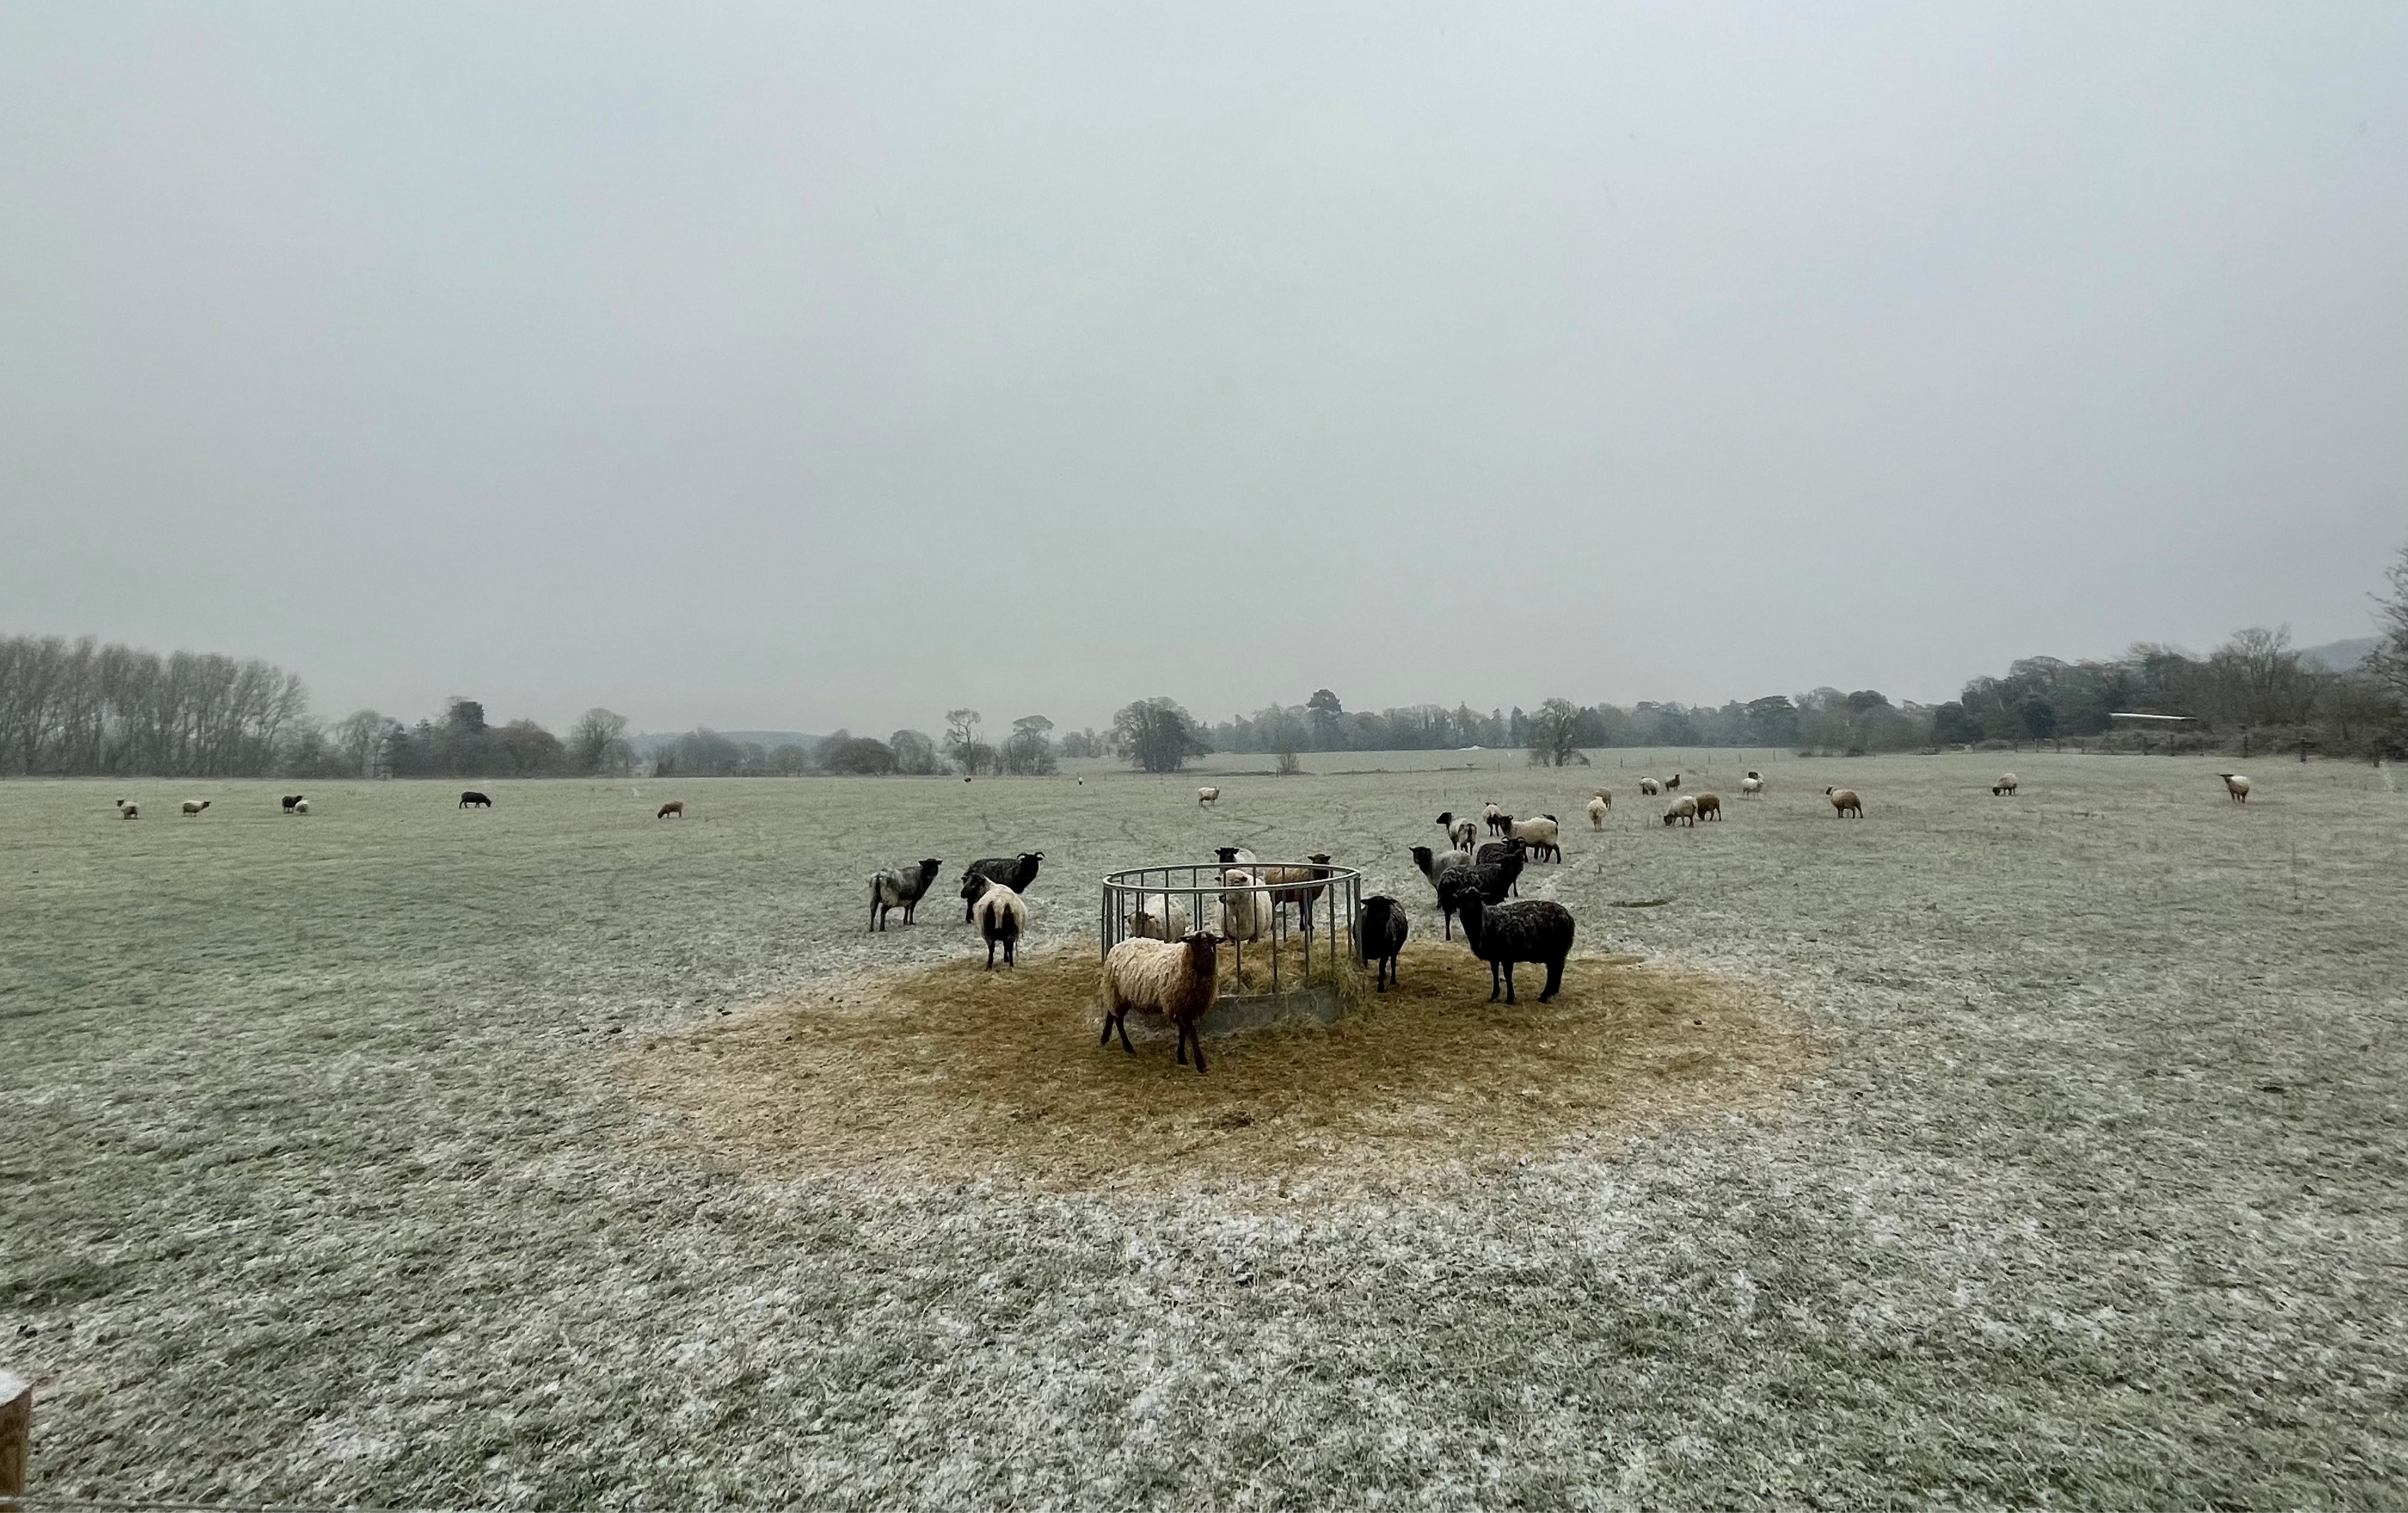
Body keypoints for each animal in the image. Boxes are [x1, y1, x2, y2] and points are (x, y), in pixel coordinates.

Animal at [960, 851, 1043, 921]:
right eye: (1027, 862)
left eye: (1035, 861)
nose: (1031, 873)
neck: (1020, 870)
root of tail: (969, 870)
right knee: (970, 902)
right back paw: (969, 919)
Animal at [971, 879, 1027, 969]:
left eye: (974, 884)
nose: (962, 894)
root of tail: (999, 905)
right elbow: (1006, 946)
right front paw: (1006, 959)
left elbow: (1004, 945)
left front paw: (1005, 959)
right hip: (1010, 931)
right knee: (1009, 948)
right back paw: (1011, 965)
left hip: (989, 932)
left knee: (992, 949)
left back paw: (989, 966)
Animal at [1100, 930, 1225, 1073]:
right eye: (1196, 944)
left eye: (1214, 944)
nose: (1209, 963)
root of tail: (1116, 947)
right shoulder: (1176, 1006)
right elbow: (1192, 1033)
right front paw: (1200, 1064)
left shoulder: (1185, 1008)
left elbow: (1183, 1033)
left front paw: (1182, 1058)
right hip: (1118, 993)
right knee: (1119, 1020)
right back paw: (1128, 1048)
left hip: (1118, 994)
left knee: (1112, 1012)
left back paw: (1105, 1039)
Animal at [1360, 894, 1409, 991]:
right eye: (1373, 907)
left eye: (1386, 907)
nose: (1381, 919)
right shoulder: (1363, 951)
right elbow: (1365, 964)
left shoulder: (1385, 953)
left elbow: (1381, 967)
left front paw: (1381, 987)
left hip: (1396, 949)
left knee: (1393, 963)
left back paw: (1392, 980)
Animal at [1440, 880, 1574, 1004]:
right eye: (1462, 901)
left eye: (1477, 900)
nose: (1469, 913)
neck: (1485, 924)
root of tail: (1569, 917)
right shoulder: (1494, 957)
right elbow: (1495, 974)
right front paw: (1494, 995)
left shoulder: (1507, 956)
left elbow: (1507, 976)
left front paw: (1510, 998)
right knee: (1555, 973)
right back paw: (1550, 993)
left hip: (1557, 952)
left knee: (1554, 973)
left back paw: (1545, 996)